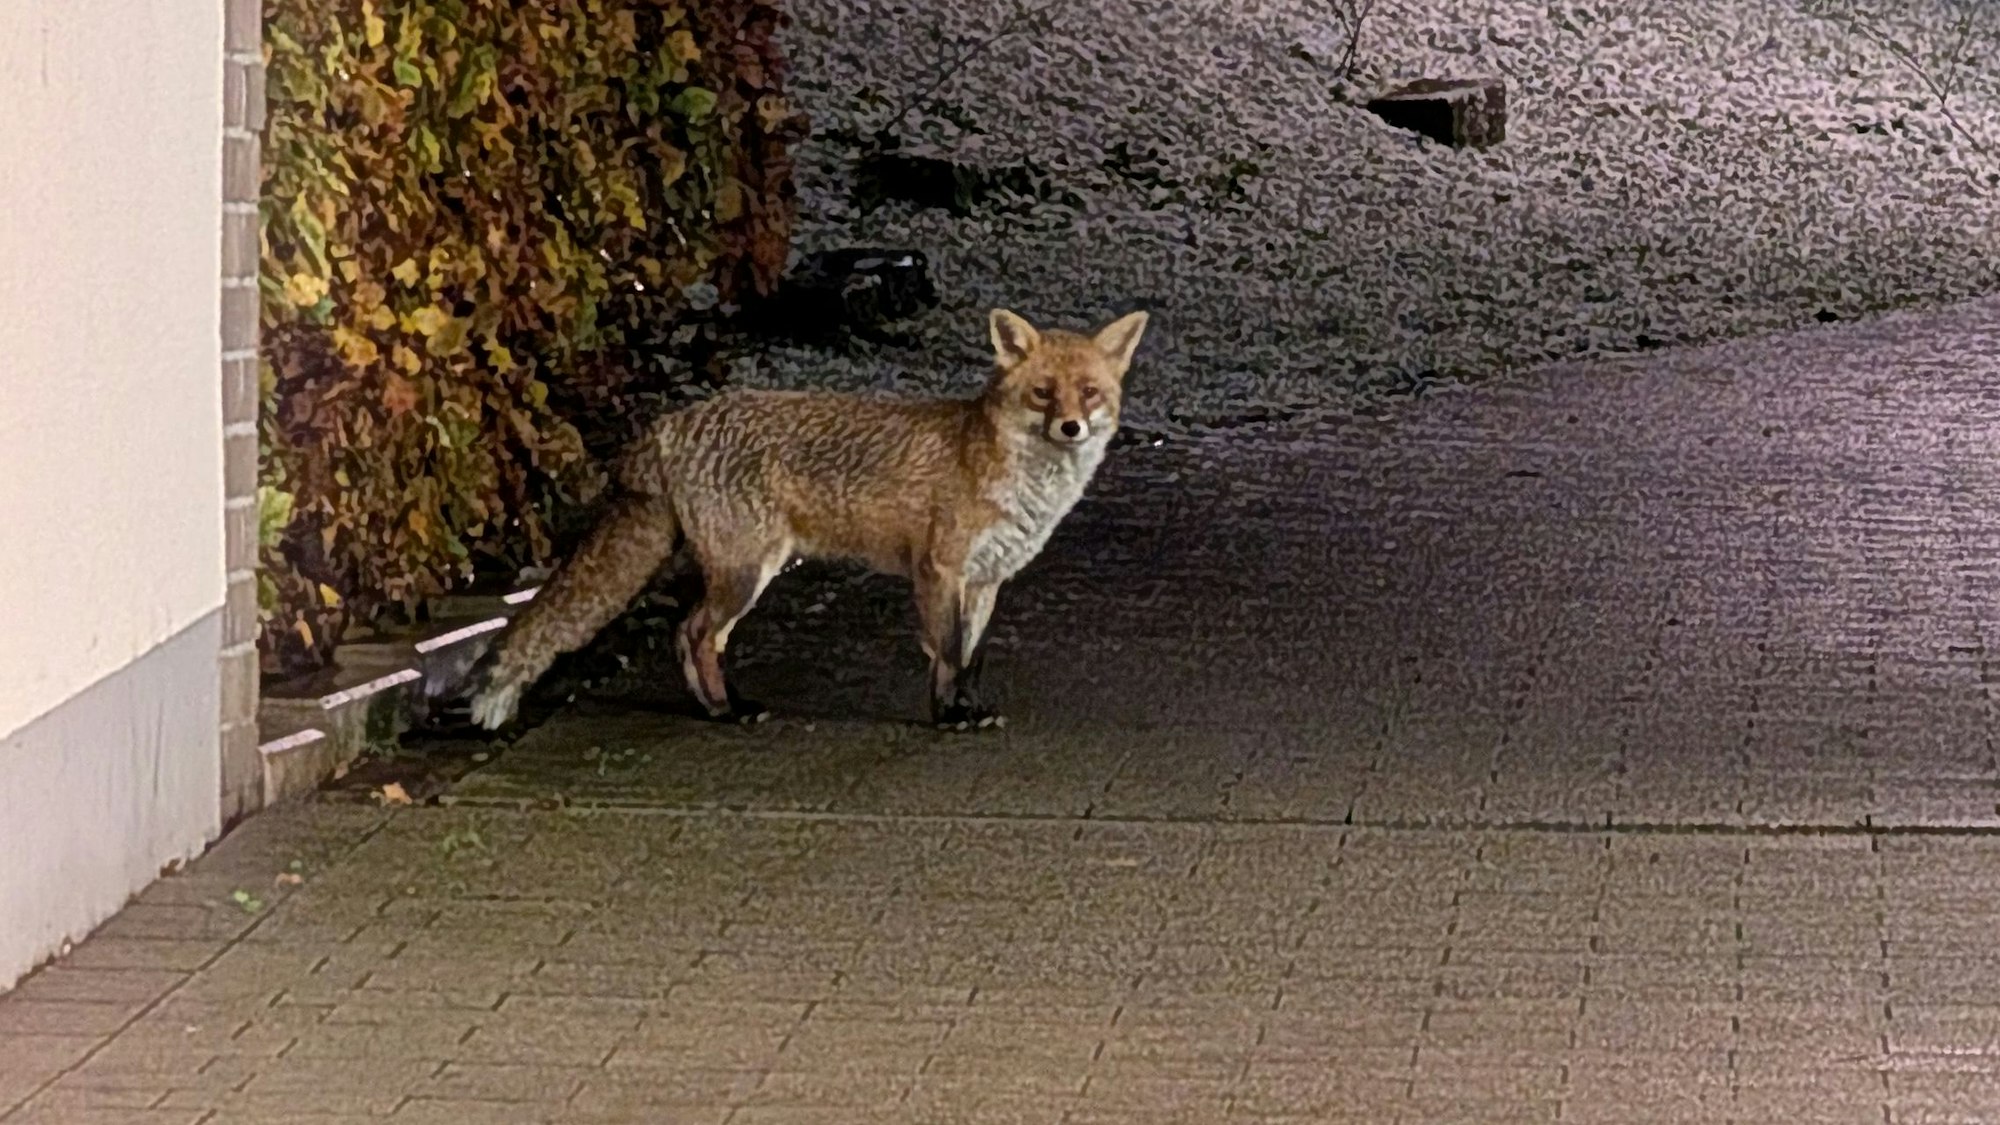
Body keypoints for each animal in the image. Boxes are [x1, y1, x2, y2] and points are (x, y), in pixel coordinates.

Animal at [463, 307, 1151, 732]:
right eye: (1043, 393)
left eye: (1089, 392)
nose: (1072, 427)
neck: (1005, 468)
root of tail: (670, 425)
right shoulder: (939, 570)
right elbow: (946, 653)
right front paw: (947, 717)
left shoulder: (985, 580)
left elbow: (971, 656)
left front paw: (971, 709)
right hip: (747, 571)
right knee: (695, 635)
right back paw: (729, 712)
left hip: (737, 571)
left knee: (690, 635)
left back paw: (716, 708)